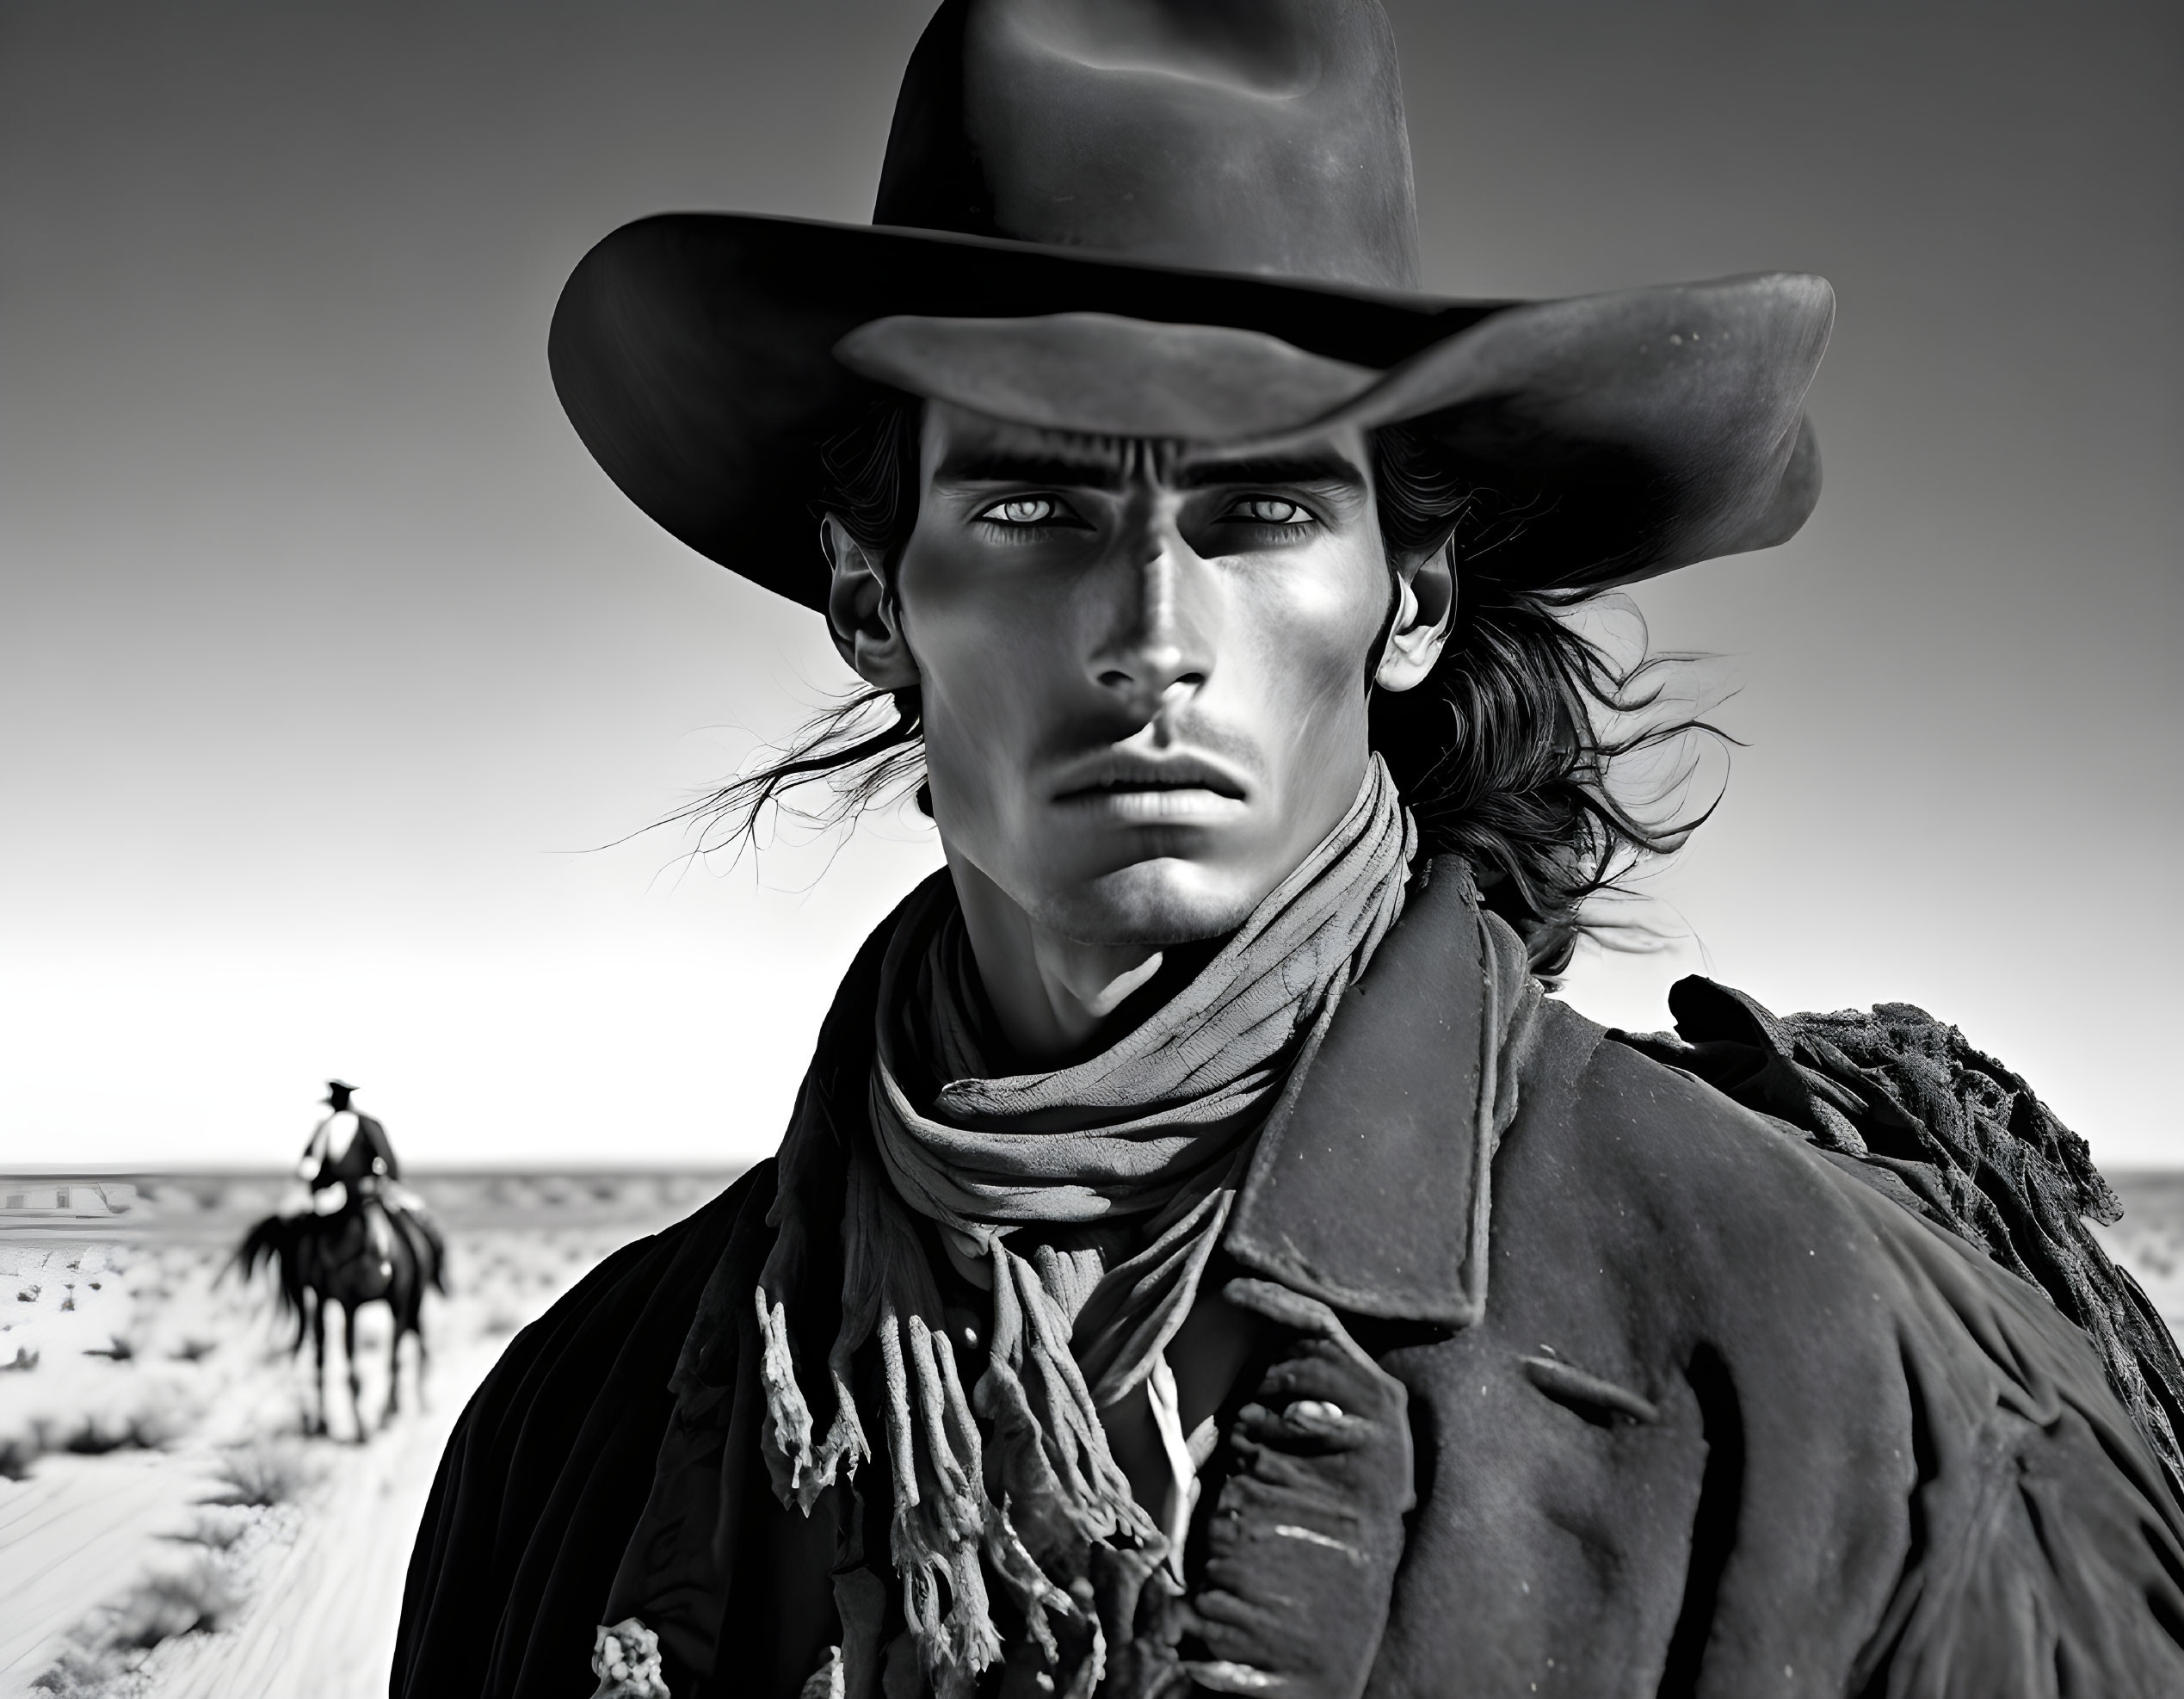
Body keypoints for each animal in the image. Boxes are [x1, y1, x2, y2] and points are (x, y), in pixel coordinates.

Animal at [236, 1188, 447, 1432]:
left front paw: (383, 1414)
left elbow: (391, 1359)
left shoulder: (397, 1305)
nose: (381, 1270)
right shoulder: (346, 1305)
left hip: (405, 1303)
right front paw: (360, 1423)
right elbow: (345, 1364)